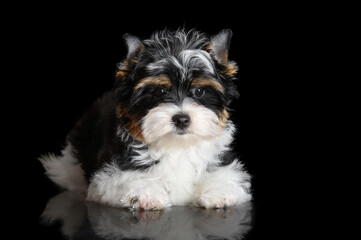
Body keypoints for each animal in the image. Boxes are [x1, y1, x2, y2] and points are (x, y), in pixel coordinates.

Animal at [39, 28, 252, 210]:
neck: (176, 146)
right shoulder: (109, 175)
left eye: (199, 91)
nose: (182, 119)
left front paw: (217, 192)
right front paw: (144, 195)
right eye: (159, 91)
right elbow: (125, 179)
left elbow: (225, 176)